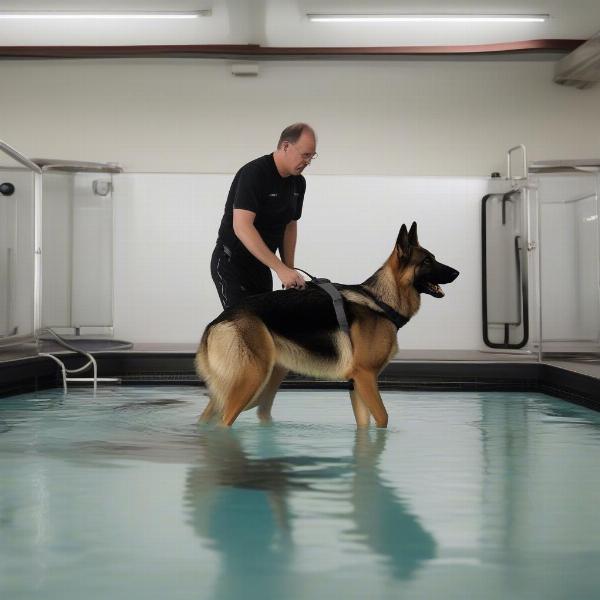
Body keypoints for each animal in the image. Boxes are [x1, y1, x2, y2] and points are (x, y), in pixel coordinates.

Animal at [197, 223, 460, 428]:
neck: (382, 302)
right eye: (427, 261)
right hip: (252, 381)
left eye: (433, 257)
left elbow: (365, 425)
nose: (457, 272)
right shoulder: (366, 377)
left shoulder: (358, 385)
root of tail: (217, 321)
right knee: (225, 421)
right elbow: (383, 418)